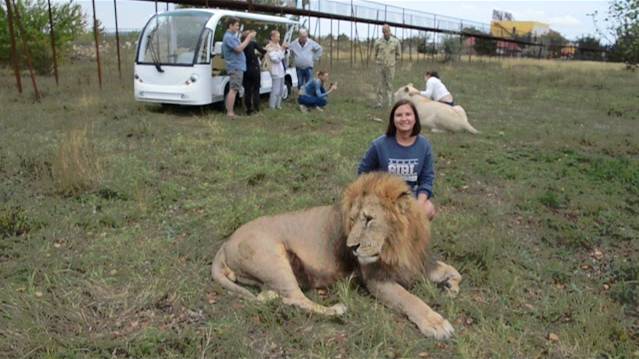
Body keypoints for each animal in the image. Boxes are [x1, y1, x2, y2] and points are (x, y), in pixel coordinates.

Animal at [212, 173, 462, 342]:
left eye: (368, 219)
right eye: (352, 220)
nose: (352, 247)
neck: (398, 244)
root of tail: (225, 243)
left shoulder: (415, 263)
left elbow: (454, 272)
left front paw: (451, 287)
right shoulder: (376, 280)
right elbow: (409, 299)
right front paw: (436, 323)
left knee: (272, 296)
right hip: (274, 259)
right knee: (295, 298)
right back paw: (336, 310)